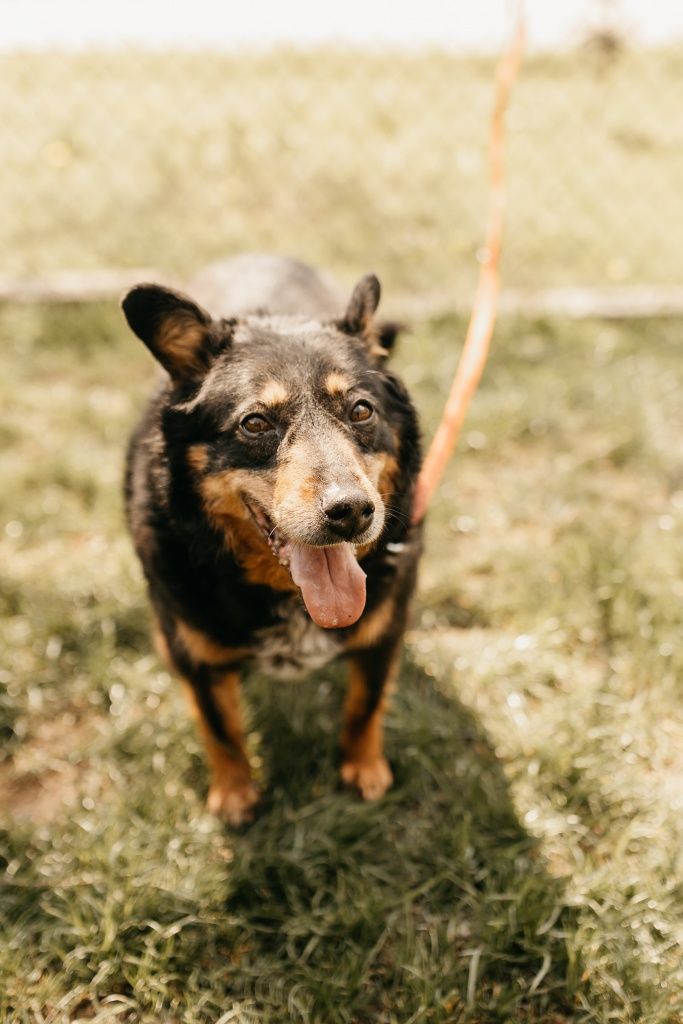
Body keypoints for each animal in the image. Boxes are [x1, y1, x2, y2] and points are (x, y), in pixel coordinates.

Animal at [122, 253, 421, 823]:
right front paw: (235, 795)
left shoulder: (384, 632)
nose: (351, 512)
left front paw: (363, 769)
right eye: (255, 423)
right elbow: (221, 729)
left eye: (361, 410)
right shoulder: (197, 653)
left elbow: (365, 705)